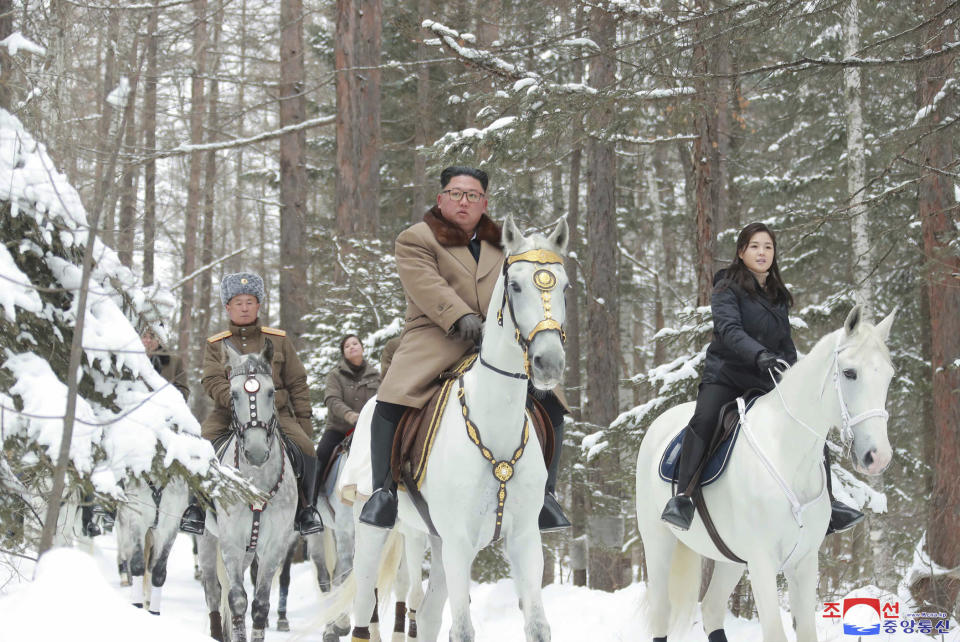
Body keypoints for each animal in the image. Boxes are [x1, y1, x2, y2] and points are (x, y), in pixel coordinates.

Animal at [197, 340, 298, 640]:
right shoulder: (230, 539)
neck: (255, 482)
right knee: (213, 590)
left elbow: (260, 605)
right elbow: (237, 599)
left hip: (250, 550)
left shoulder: (276, 543)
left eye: (271, 391)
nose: (255, 451)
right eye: (233, 394)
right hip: (208, 540)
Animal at [632, 304, 896, 640]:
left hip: (730, 559)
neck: (786, 453)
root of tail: (659, 425)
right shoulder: (762, 563)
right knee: (662, 612)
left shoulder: (804, 563)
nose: (879, 456)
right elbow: (774, 632)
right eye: (850, 373)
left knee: (712, 609)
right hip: (658, 542)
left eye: (888, 376)